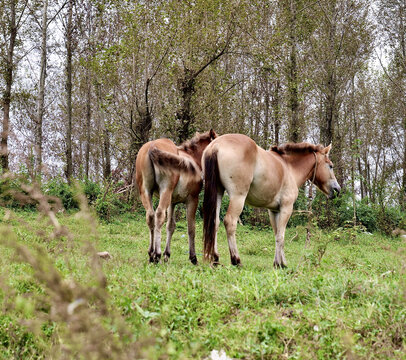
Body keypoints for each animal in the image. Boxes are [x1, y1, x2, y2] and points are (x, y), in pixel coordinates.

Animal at [135, 130, 216, 264]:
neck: (193, 159)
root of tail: (152, 147)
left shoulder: (172, 202)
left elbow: (170, 226)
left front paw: (167, 255)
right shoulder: (192, 199)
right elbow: (191, 228)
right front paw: (193, 257)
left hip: (146, 192)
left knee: (150, 216)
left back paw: (151, 254)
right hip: (165, 191)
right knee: (159, 214)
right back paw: (156, 254)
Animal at [202, 134, 340, 268]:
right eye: (330, 166)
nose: (337, 189)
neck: (289, 168)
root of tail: (216, 145)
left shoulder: (274, 211)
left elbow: (276, 234)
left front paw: (279, 262)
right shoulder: (286, 208)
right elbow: (281, 236)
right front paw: (280, 264)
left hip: (218, 193)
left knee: (215, 222)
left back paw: (215, 259)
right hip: (238, 197)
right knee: (230, 222)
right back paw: (236, 260)